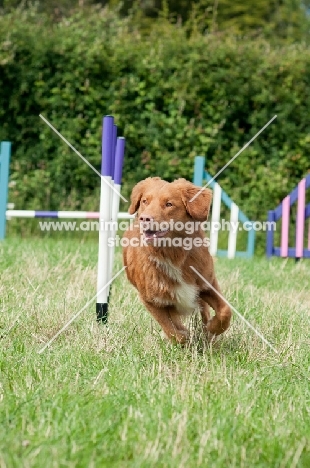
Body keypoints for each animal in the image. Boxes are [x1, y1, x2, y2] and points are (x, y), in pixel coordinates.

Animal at [122, 176, 231, 344]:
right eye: (145, 201)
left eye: (169, 204)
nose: (144, 218)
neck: (172, 253)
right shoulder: (151, 300)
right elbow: (173, 331)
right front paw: (185, 339)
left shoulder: (207, 284)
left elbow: (226, 311)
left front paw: (212, 329)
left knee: (204, 312)